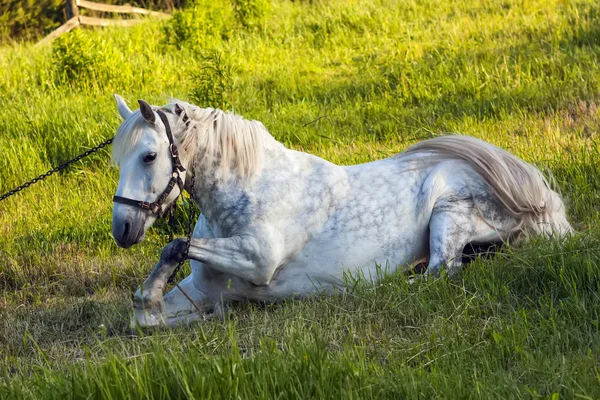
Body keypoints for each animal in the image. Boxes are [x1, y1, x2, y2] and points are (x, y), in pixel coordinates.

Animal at [110, 95, 576, 326]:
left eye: (149, 156)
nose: (123, 228)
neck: (251, 187)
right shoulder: (203, 288)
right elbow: (143, 314)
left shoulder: (259, 260)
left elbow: (175, 244)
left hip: (448, 210)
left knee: (441, 273)